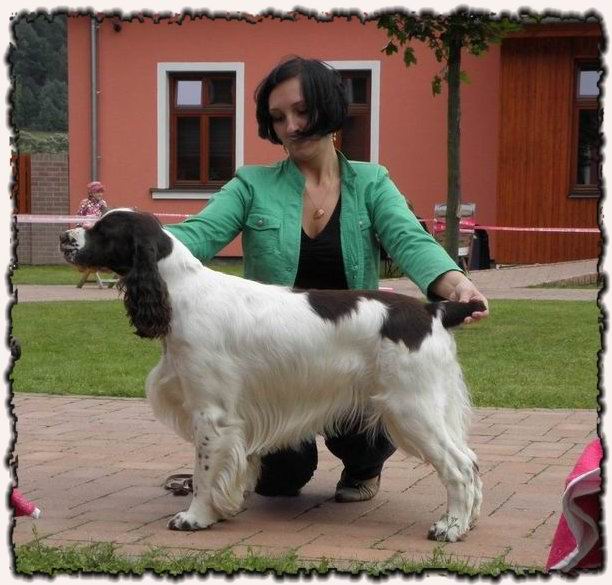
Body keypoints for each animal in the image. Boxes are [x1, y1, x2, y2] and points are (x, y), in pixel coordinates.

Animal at [59, 208, 484, 542]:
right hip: (430, 406)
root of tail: (434, 311)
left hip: (411, 408)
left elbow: (204, 472)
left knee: (460, 467)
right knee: (471, 459)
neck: (182, 292)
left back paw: (449, 527)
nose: (65, 236)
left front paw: (195, 517)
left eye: (104, 229)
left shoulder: (211, 413)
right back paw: (467, 521)